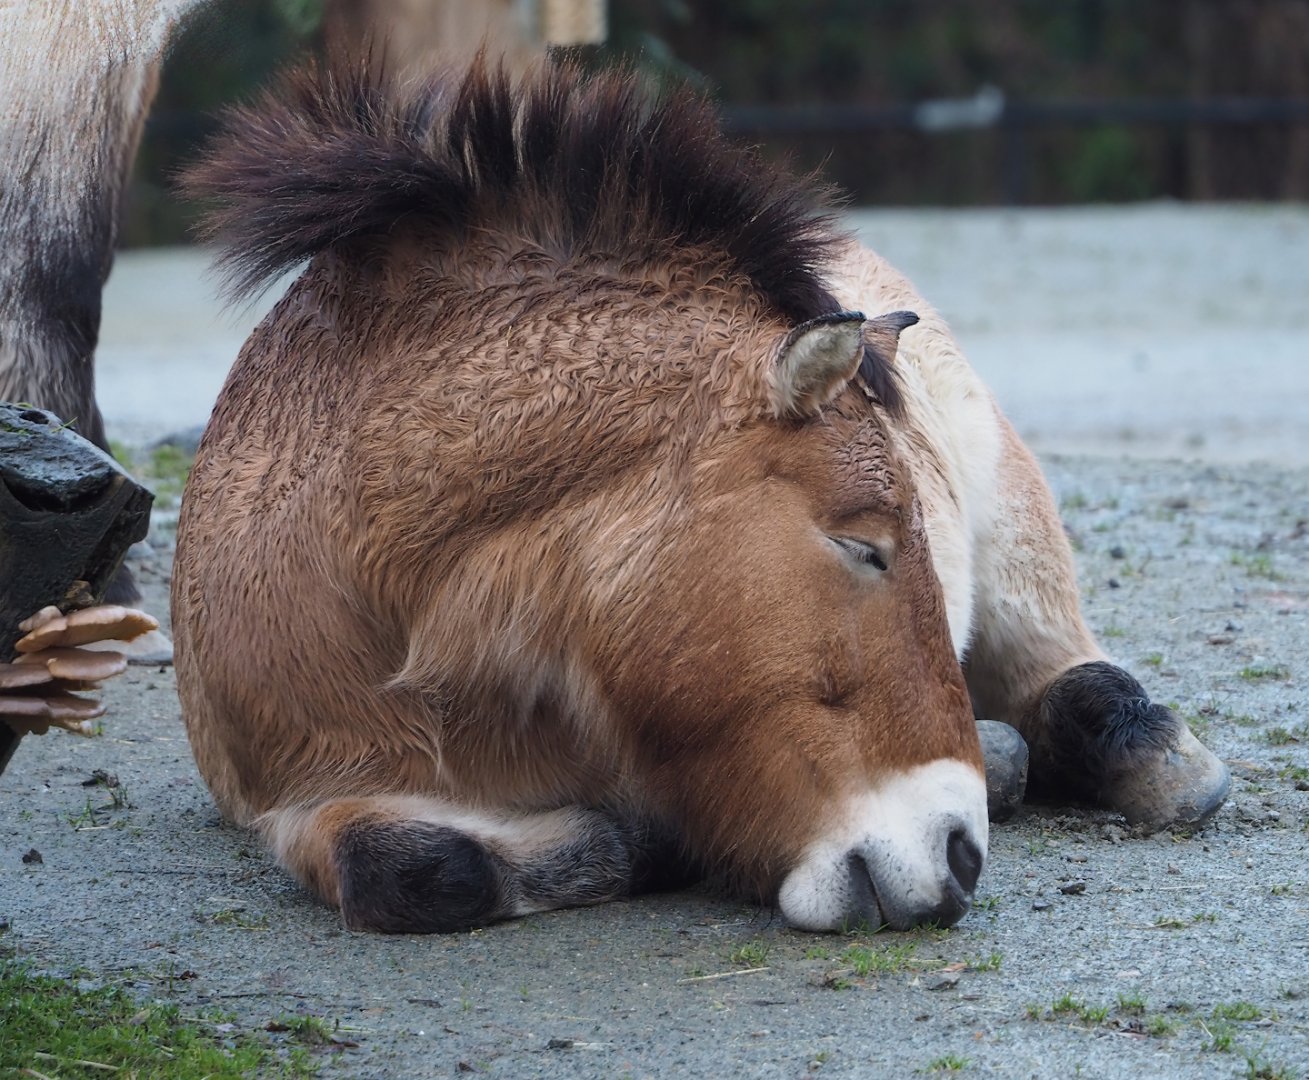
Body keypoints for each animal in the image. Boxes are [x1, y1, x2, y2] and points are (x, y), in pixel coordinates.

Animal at [173, 54, 1229, 934]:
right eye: (865, 546)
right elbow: (418, 871)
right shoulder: (298, 795)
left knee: (1074, 671)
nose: (959, 854)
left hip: (1016, 553)